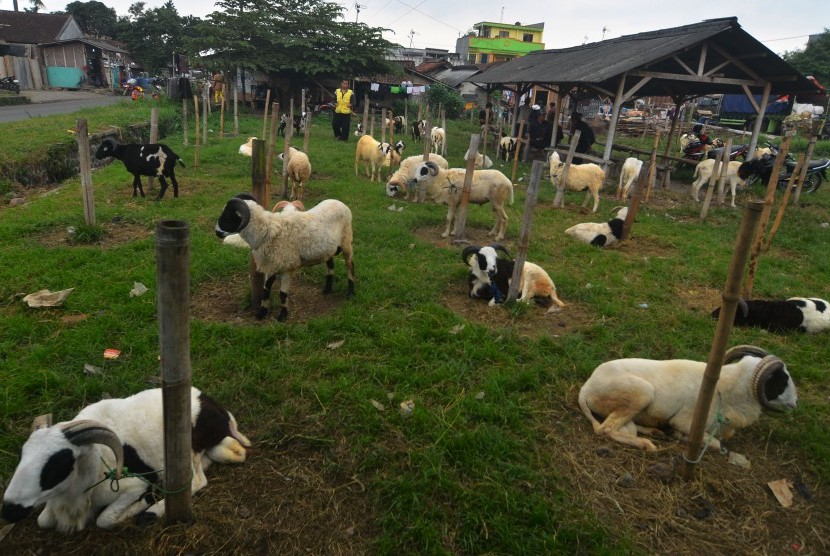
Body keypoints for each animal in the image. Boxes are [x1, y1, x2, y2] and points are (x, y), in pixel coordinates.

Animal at [1, 388, 252, 532]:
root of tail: (217, 408)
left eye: (59, 463)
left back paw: (153, 511)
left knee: (197, 481)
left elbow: (105, 519)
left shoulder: (135, 484)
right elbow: (43, 521)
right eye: (22, 455)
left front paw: (146, 504)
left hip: (187, 450)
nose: (9, 511)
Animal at [214, 194, 354, 322]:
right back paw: (327, 289)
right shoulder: (271, 265)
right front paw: (261, 313)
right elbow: (265, 290)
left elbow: (282, 294)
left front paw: (282, 316)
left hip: (346, 240)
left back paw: (351, 293)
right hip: (327, 248)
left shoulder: (288, 267)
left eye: (228, 216)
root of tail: (338, 202)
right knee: (330, 264)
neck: (267, 231)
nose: (217, 232)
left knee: (350, 265)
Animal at [580, 344, 800, 452]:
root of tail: (586, 388)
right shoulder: (686, 422)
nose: (796, 402)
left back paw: (655, 432)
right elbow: (716, 444)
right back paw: (647, 444)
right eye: (781, 380)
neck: (725, 387)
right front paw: (682, 437)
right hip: (641, 394)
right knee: (606, 430)